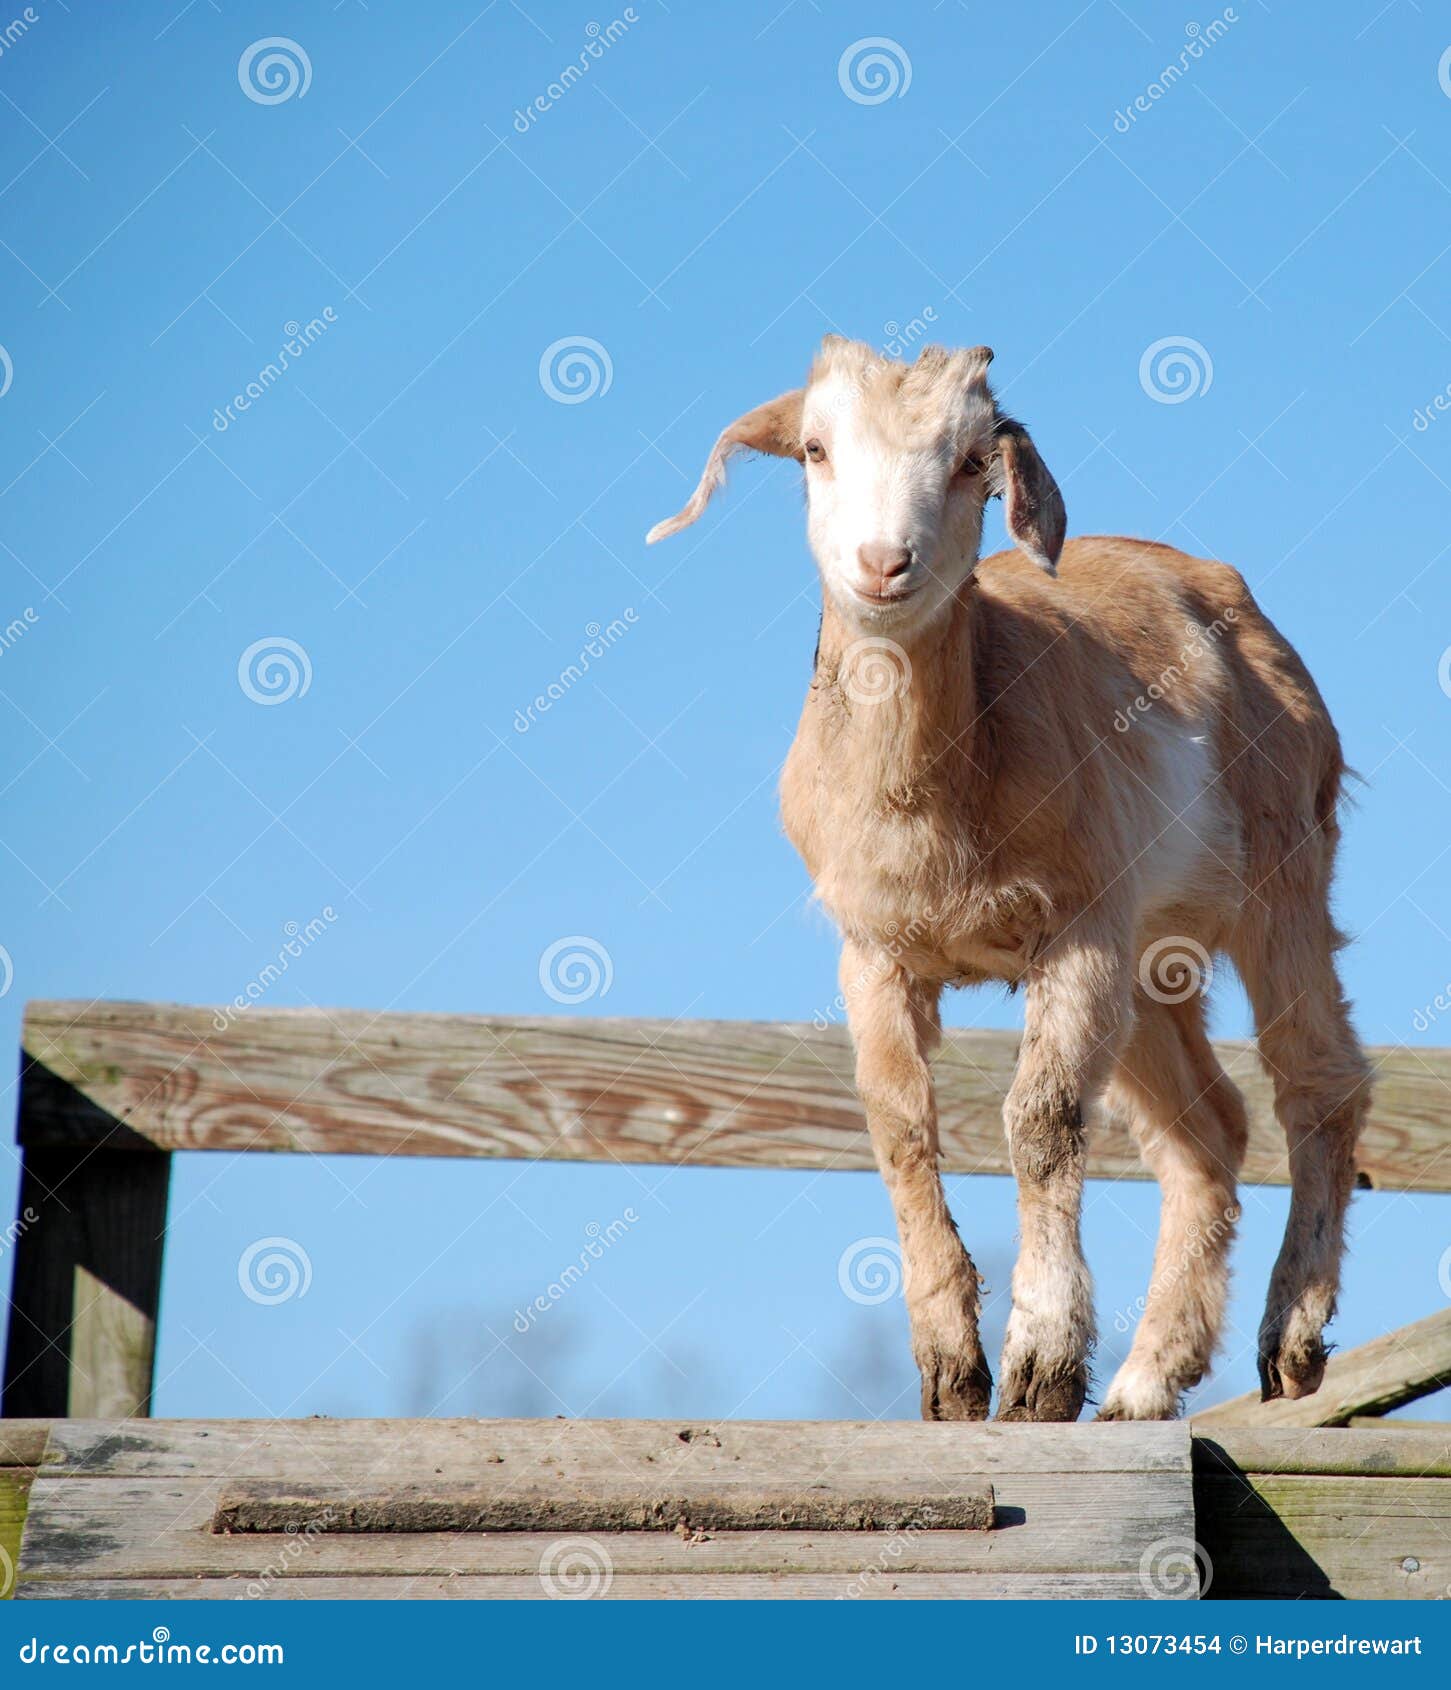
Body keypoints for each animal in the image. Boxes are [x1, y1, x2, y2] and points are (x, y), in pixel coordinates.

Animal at [647, 335, 1369, 1422]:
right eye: (813, 449)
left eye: (970, 462)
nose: (881, 563)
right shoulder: (871, 952)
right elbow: (899, 1128)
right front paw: (952, 1371)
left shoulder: (1076, 926)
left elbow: (1040, 1121)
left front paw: (1038, 1366)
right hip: (1150, 951)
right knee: (1205, 1128)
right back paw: (1142, 1385)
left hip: (1281, 858)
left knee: (1316, 1084)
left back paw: (1285, 1339)